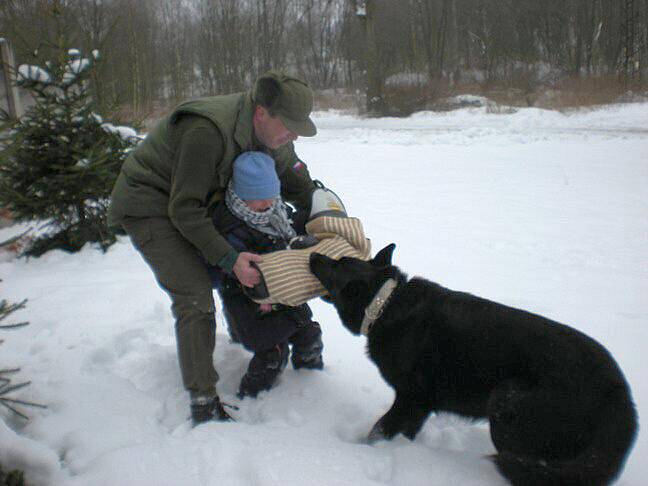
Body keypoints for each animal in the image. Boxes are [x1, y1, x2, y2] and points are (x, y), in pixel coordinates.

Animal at [310, 245, 636, 486]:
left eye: (338, 264)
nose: (311, 253)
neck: (384, 304)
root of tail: (620, 394)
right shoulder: (419, 407)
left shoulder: (410, 399)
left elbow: (378, 431)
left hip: (507, 401)